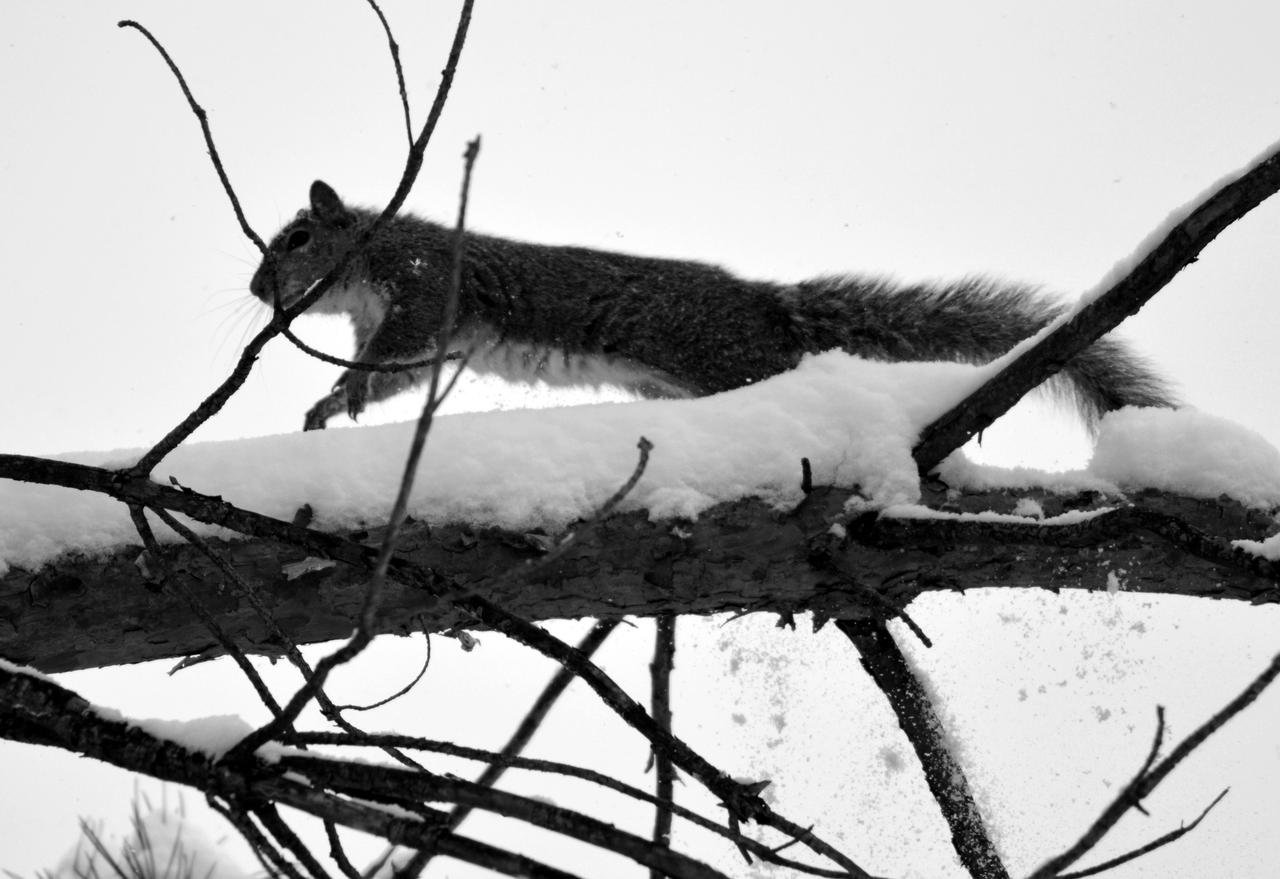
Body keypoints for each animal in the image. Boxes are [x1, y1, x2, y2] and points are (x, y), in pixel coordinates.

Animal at [250, 181, 1175, 432]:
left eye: (296, 237)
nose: (259, 290)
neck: (367, 258)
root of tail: (768, 305)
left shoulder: (424, 285)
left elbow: (397, 349)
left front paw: (345, 389)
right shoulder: (413, 336)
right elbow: (400, 375)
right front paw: (331, 402)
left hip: (730, 360)